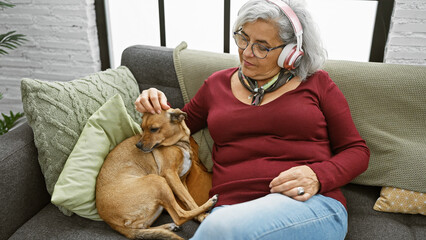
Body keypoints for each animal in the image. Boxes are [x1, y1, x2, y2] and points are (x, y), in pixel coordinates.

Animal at [96, 109, 216, 240]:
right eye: (142, 128)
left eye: (153, 129)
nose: (138, 146)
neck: (179, 144)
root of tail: (112, 223)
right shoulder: (170, 174)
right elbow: (190, 201)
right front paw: (203, 216)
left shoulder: (182, 181)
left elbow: (188, 200)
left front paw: (200, 216)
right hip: (157, 180)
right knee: (180, 216)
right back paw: (210, 202)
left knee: (145, 227)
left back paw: (169, 227)